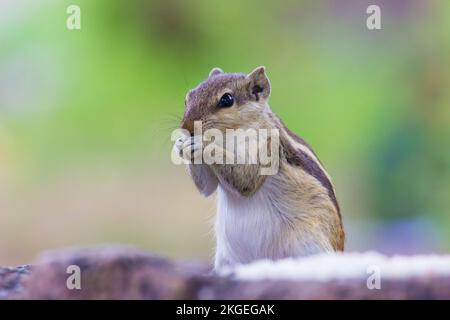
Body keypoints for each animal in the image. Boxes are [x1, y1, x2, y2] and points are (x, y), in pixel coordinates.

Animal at [172, 67, 344, 270]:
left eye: (226, 100)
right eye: (188, 97)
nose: (186, 127)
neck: (229, 135)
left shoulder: (267, 146)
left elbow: (247, 179)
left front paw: (201, 144)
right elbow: (207, 188)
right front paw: (180, 144)